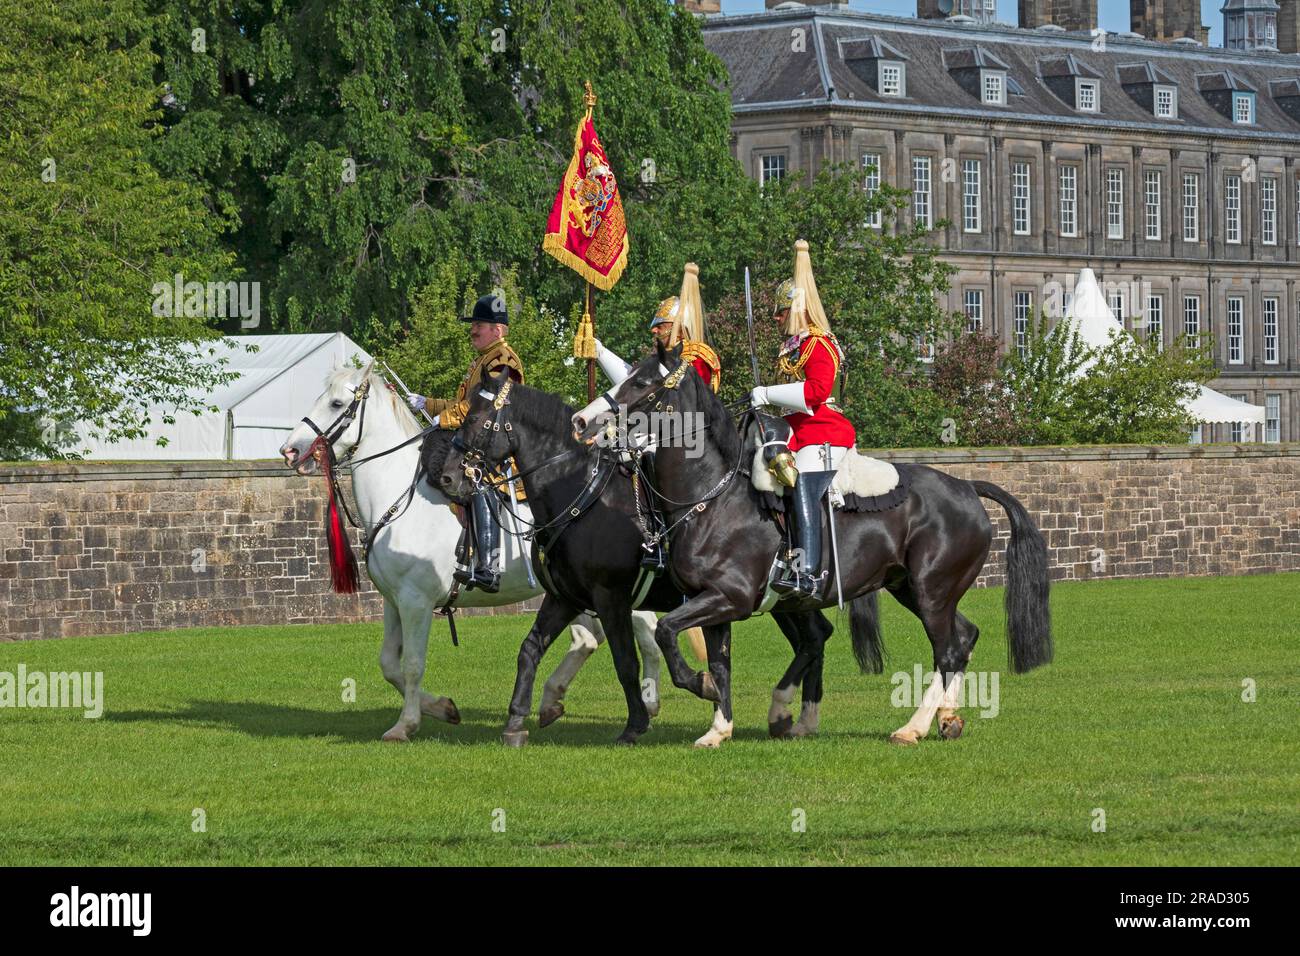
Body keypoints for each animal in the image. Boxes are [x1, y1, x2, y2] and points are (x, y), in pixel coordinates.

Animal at [275, 361, 660, 743]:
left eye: (337, 403)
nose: (289, 450)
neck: (400, 498)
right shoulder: (394, 601)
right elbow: (389, 664)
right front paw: (442, 707)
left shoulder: (416, 602)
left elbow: (412, 664)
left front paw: (406, 724)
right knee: (589, 639)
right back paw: (553, 701)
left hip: (612, 592)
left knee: (645, 630)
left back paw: (649, 700)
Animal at [439, 371, 863, 749]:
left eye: (474, 418)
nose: (447, 478)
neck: (577, 493)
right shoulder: (564, 598)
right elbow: (530, 650)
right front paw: (515, 722)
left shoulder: (610, 597)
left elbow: (625, 661)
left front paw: (638, 723)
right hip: (781, 601)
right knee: (815, 636)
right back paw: (797, 716)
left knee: (813, 637)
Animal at [577, 343, 1055, 749]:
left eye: (642, 382)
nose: (583, 421)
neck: (711, 498)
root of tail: (966, 487)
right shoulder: (708, 600)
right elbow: (717, 660)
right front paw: (718, 727)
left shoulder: (728, 598)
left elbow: (668, 632)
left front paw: (702, 689)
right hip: (914, 589)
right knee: (963, 638)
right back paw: (947, 718)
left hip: (932, 592)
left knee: (948, 649)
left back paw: (912, 728)